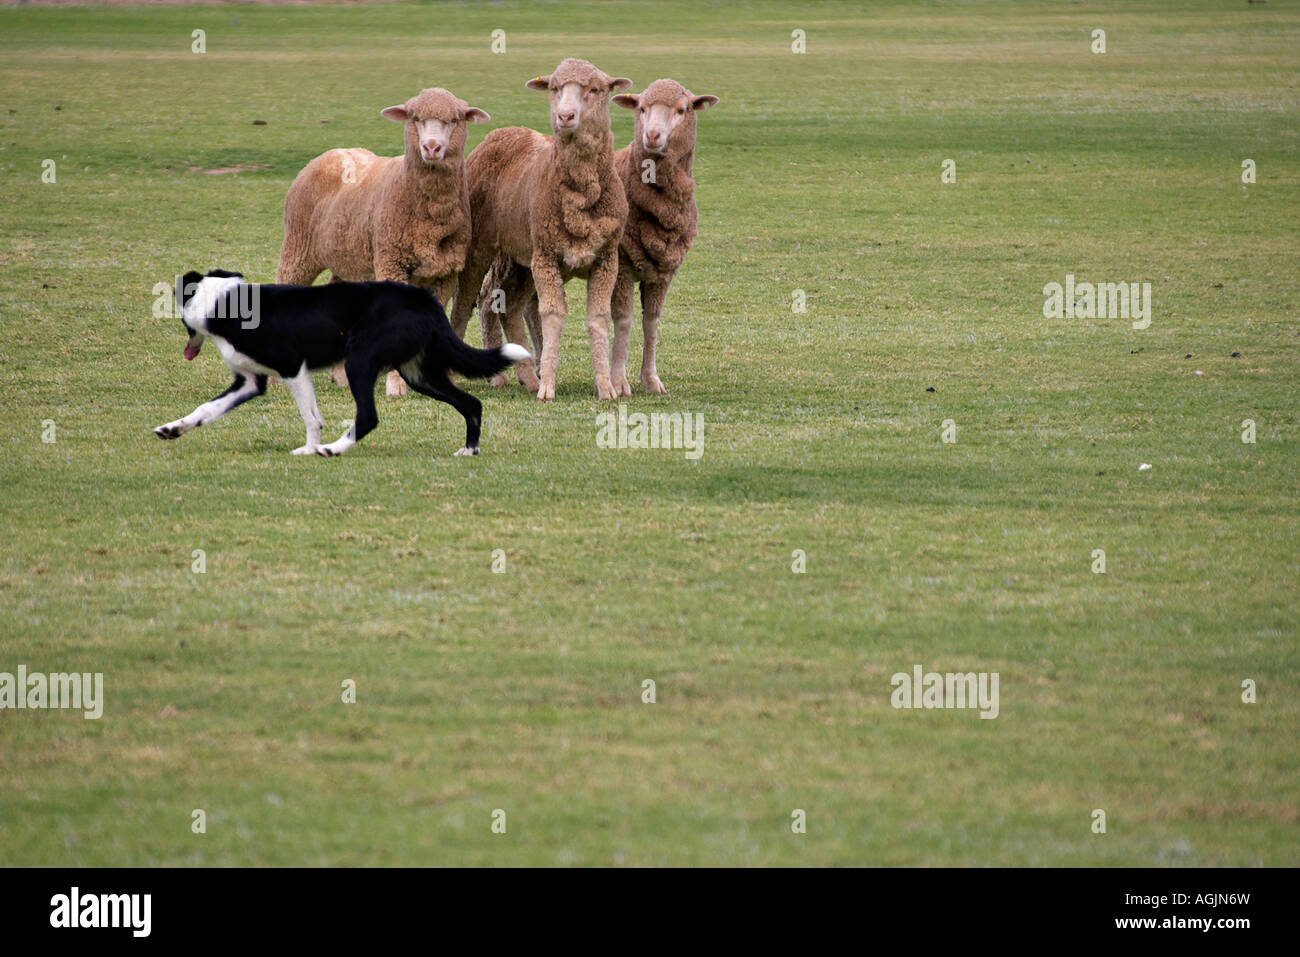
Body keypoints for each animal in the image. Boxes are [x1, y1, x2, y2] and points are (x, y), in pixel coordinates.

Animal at [277, 87, 489, 396]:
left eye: (454, 119)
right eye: (414, 118)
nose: (431, 148)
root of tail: (329, 153)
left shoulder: (445, 272)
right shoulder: (391, 263)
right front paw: (396, 385)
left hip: (348, 259)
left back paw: (340, 375)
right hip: (297, 249)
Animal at [448, 58, 631, 401]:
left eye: (595, 89)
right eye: (554, 87)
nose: (565, 116)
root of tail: (500, 133)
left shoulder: (606, 258)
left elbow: (598, 319)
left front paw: (606, 386)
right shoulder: (546, 256)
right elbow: (553, 317)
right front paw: (548, 387)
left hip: (521, 257)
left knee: (508, 307)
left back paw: (527, 376)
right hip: (480, 247)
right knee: (464, 305)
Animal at [477, 79, 718, 395]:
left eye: (683, 109)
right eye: (641, 108)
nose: (652, 136)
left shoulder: (664, 271)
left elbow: (651, 322)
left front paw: (651, 379)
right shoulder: (622, 266)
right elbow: (623, 320)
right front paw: (619, 380)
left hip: (524, 261)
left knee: (519, 305)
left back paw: (535, 367)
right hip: (507, 253)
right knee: (489, 299)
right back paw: (502, 374)